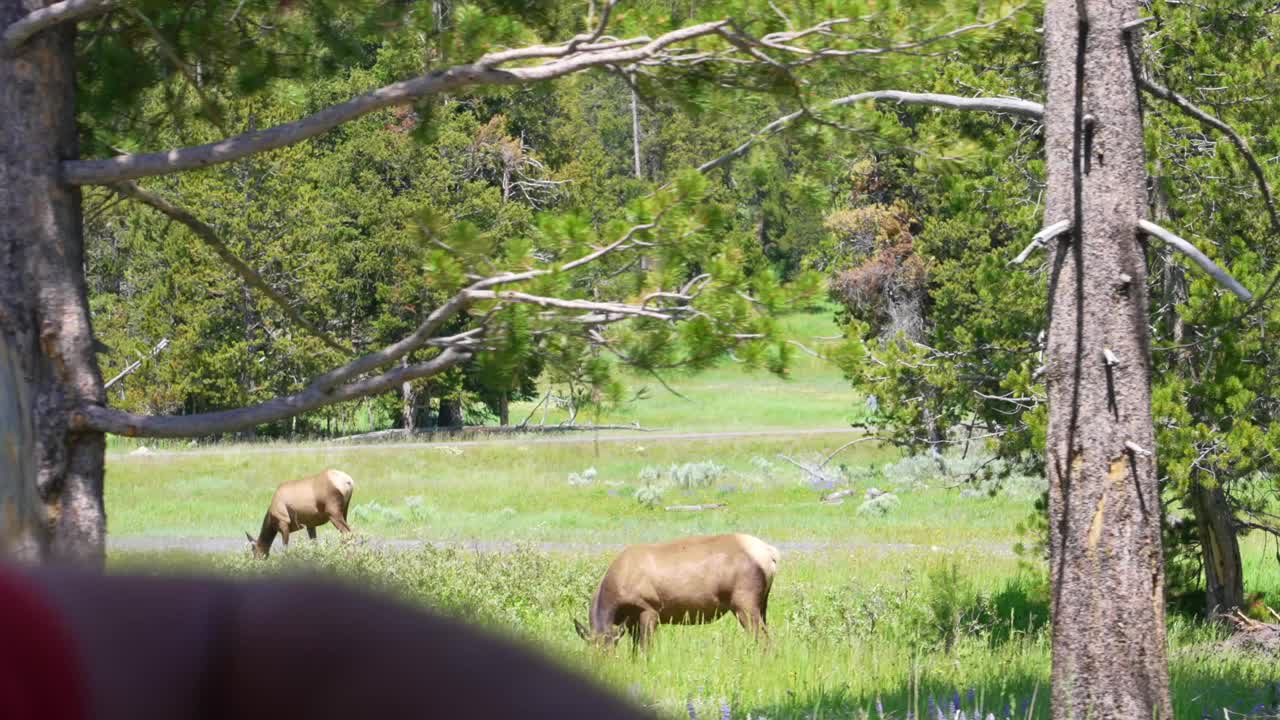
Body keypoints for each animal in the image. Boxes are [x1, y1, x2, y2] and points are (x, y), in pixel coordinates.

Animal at [578, 530, 778, 648]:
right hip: (762, 604)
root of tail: (771, 554)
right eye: (591, 651)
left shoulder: (649, 609)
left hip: (744, 604)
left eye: (608, 651)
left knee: (764, 640)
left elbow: (645, 648)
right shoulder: (631, 621)